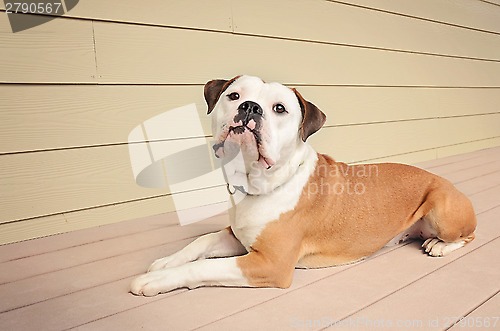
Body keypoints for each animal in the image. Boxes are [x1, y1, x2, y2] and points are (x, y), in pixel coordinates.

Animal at [129, 76, 476, 298]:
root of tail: (449, 184)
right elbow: (201, 242)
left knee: (467, 236)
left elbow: (203, 268)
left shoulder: (270, 264)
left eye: (280, 108)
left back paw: (439, 246)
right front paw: (166, 262)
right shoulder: (236, 236)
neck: (258, 182)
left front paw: (157, 279)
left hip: (442, 208)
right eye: (234, 96)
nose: (251, 107)